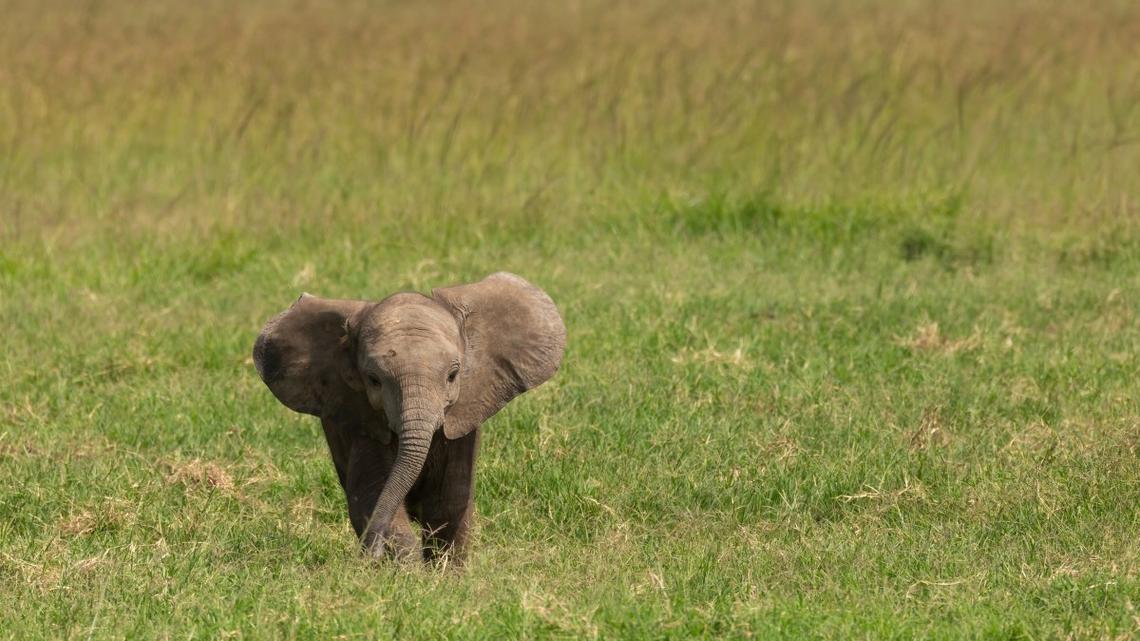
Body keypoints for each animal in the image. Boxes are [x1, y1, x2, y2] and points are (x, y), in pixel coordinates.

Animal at [252, 272, 566, 562]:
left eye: (453, 375)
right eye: (373, 380)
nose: (370, 553)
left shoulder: (463, 417)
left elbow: (449, 499)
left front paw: (443, 575)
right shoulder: (363, 417)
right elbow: (371, 493)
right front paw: (406, 570)